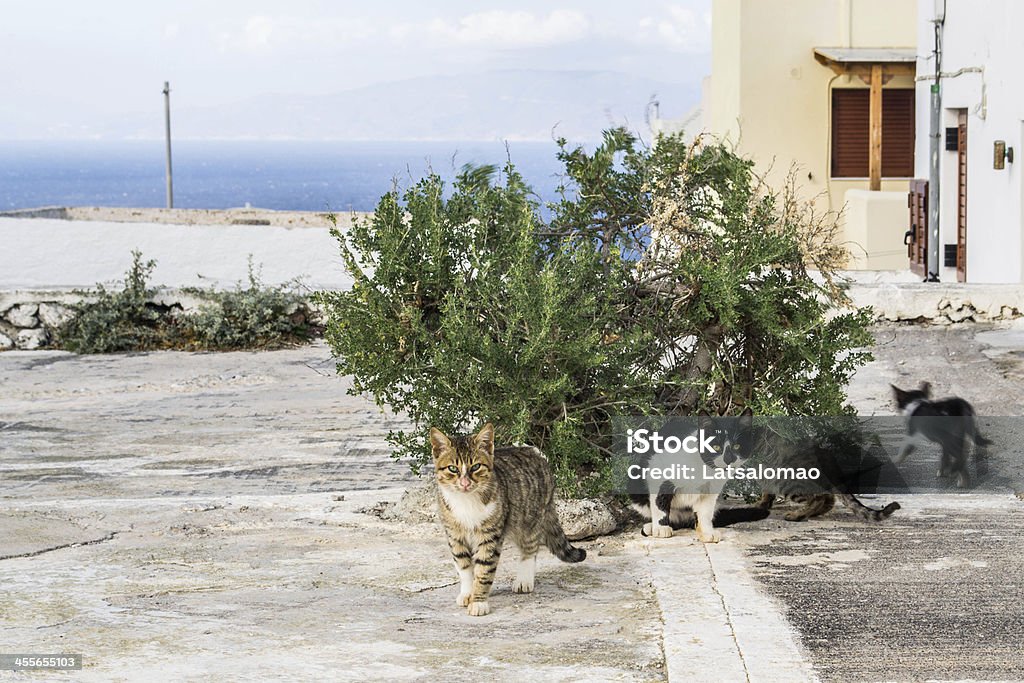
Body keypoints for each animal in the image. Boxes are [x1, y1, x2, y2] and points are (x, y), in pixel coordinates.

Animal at [428, 423, 585, 618]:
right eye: (452, 469)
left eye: (476, 466)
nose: (465, 483)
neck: (467, 502)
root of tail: (535, 453)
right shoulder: (454, 535)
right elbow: (464, 566)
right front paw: (467, 593)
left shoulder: (490, 534)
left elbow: (484, 570)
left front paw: (478, 601)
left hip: (529, 519)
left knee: (530, 547)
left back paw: (524, 579)